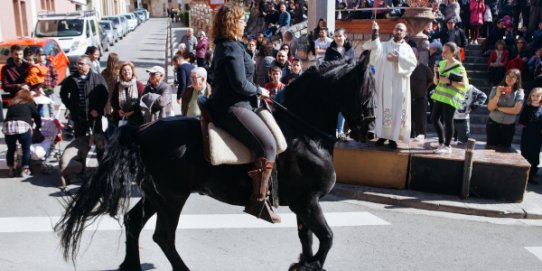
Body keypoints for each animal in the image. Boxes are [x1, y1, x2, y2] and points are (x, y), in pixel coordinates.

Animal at [57, 50, 376, 270]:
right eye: (367, 89)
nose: (370, 132)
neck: (305, 134)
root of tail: (141, 132)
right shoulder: (307, 202)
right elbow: (327, 238)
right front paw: (310, 264)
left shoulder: (303, 204)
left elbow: (308, 239)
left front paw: (304, 264)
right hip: (172, 197)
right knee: (163, 236)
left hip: (154, 195)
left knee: (133, 222)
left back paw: (131, 266)